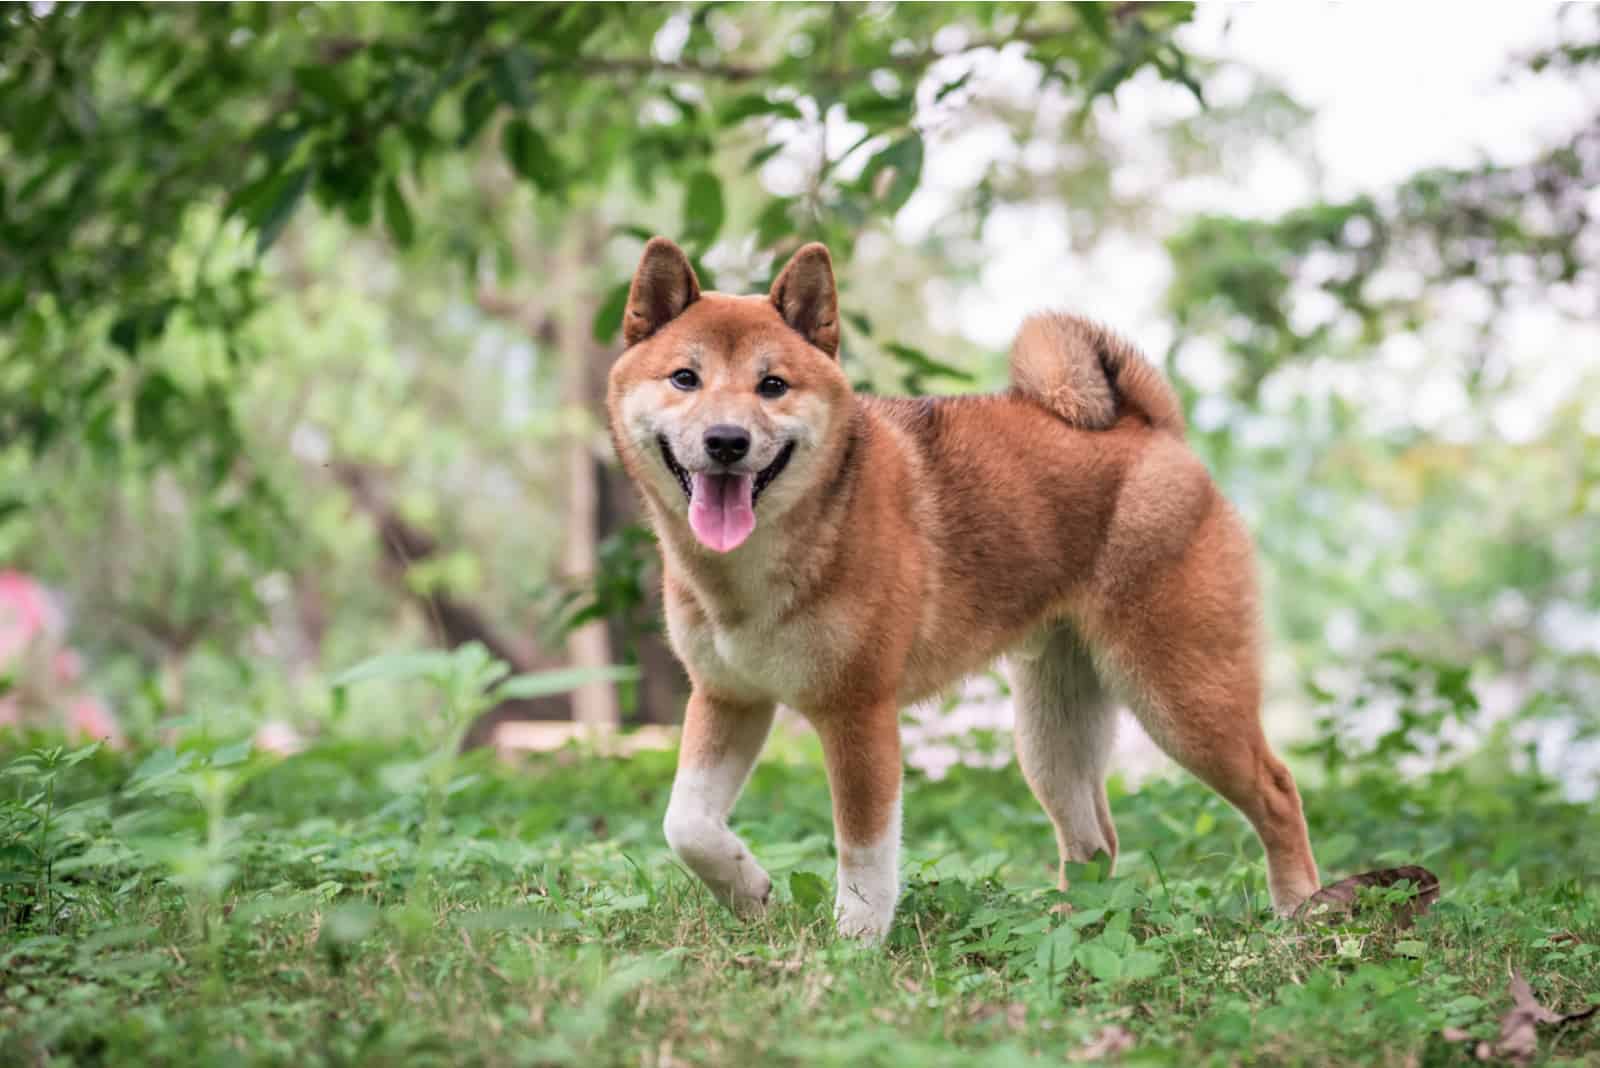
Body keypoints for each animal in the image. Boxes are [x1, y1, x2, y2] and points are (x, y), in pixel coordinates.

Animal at [604, 238, 1318, 940]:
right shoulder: (728, 697)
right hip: (1051, 728)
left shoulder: (859, 712)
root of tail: (1152, 429)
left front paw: (853, 950)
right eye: (685, 378)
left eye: (772, 385)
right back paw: (1066, 928)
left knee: (1278, 789)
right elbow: (686, 826)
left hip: (1180, 696)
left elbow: (864, 857)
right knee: (1095, 840)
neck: (762, 559)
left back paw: (1299, 913)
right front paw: (749, 892)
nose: (727, 440)